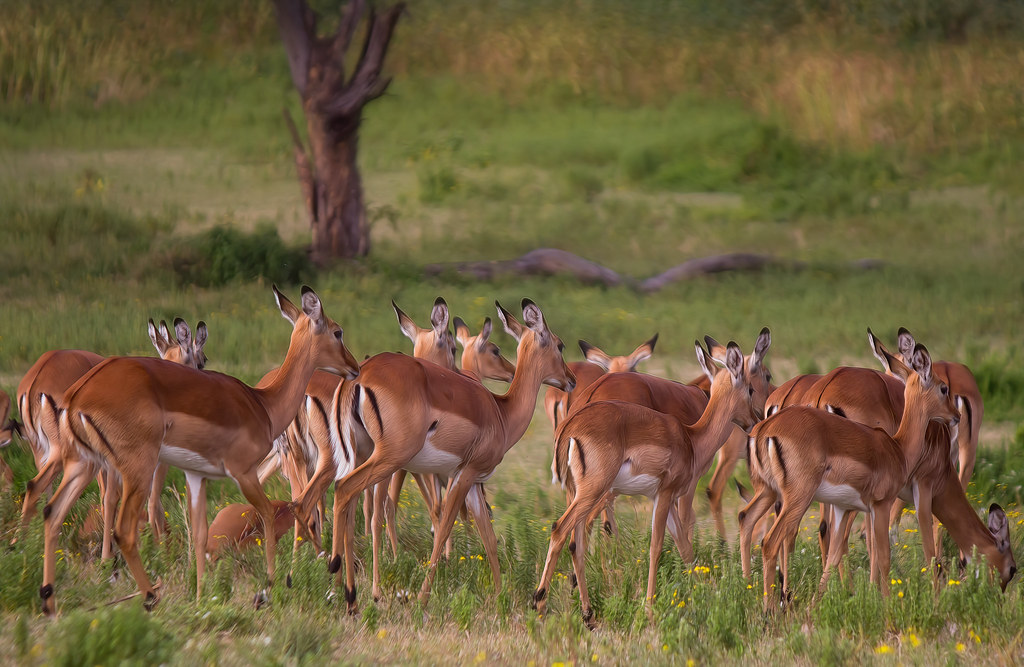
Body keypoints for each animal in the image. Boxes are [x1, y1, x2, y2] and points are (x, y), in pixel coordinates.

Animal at [38, 286, 359, 614]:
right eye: (337, 331)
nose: (354, 366)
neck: (263, 405)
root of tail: (78, 395)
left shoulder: (196, 475)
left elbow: (201, 534)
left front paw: (202, 597)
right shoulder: (243, 473)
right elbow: (271, 514)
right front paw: (268, 589)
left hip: (84, 463)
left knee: (52, 511)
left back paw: (50, 601)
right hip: (137, 467)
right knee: (123, 529)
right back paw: (150, 597)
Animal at [293, 299, 575, 614]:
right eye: (560, 345)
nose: (571, 380)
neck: (502, 413)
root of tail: (360, 373)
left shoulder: (471, 482)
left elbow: (488, 538)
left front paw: (501, 597)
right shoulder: (464, 475)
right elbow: (443, 528)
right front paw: (423, 597)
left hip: (360, 454)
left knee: (345, 505)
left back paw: (341, 590)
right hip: (387, 459)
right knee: (345, 492)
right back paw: (350, 595)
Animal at [535, 335, 763, 627]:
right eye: (750, 388)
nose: (755, 421)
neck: (692, 440)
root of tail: (569, 427)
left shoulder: (661, 497)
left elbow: (685, 547)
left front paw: (702, 595)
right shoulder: (666, 494)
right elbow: (657, 546)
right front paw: (650, 609)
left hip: (579, 493)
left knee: (577, 543)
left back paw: (588, 615)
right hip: (593, 491)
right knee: (559, 530)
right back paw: (540, 604)